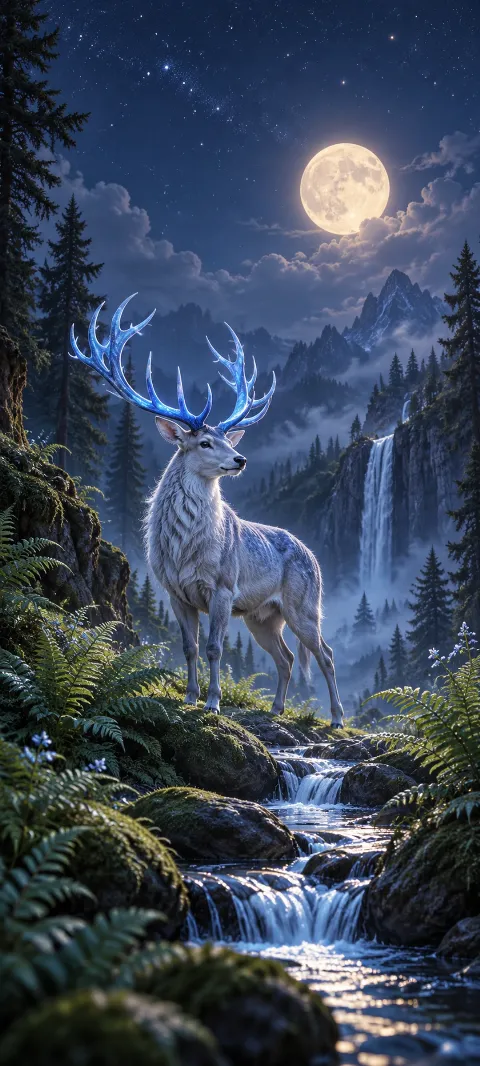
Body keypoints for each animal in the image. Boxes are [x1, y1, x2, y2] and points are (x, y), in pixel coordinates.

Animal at [71, 295, 344, 726]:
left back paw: (336, 717)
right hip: (262, 615)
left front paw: (213, 702)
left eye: (226, 439)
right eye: (203, 442)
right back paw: (276, 708)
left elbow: (215, 648)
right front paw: (190, 697)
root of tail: (314, 558)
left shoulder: (223, 586)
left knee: (326, 654)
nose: (240, 459)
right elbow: (191, 648)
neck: (185, 550)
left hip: (304, 605)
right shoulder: (174, 592)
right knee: (285, 658)